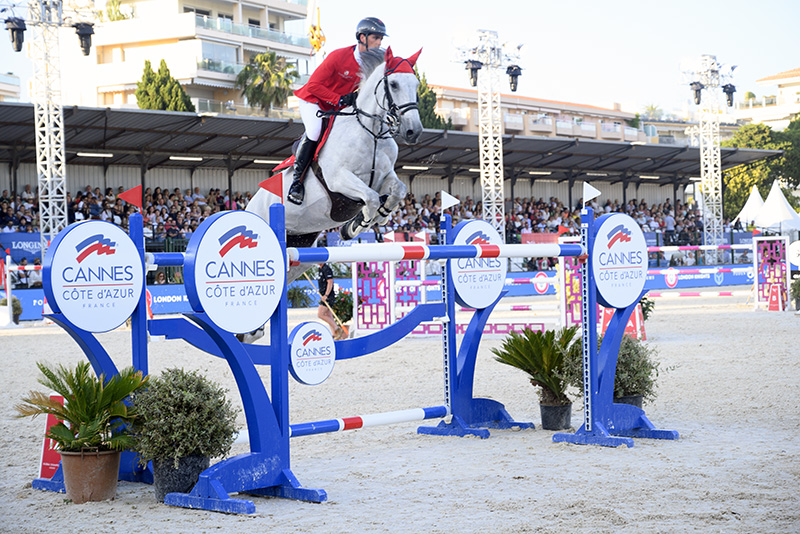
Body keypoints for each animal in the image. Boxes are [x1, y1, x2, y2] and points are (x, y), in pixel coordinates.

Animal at [248, 48, 424, 262]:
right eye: (393, 84)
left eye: (416, 85)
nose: (413, 131)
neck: (371, 133)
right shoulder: (339, 179)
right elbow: (372, 198)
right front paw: (357, 225)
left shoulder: (383, 177)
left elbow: (398, 190)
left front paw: (382, 215)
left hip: (302, 242)